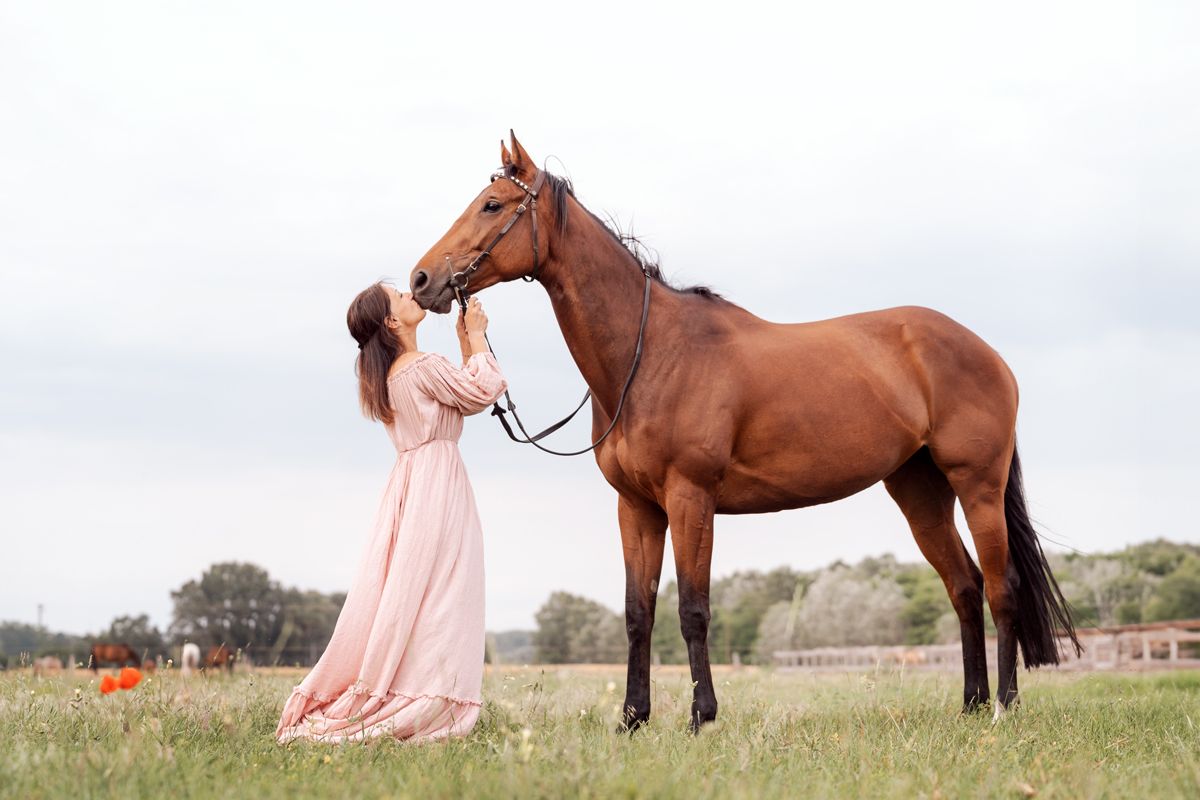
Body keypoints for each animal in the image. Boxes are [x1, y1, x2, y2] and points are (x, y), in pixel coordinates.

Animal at [409, 132, 1081, 729]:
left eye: (492, 204)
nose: (420, 281)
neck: (651, 353)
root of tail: (986, 351)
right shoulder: (636, 507)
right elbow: (638, 613)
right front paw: (632, 719)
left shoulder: (690, 497)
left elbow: (693, 610)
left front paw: (700, 717)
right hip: (919, 492)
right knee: (964, 587)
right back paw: (970, 706)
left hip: (977, 485)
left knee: (1001, 588)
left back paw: (1003, 708)